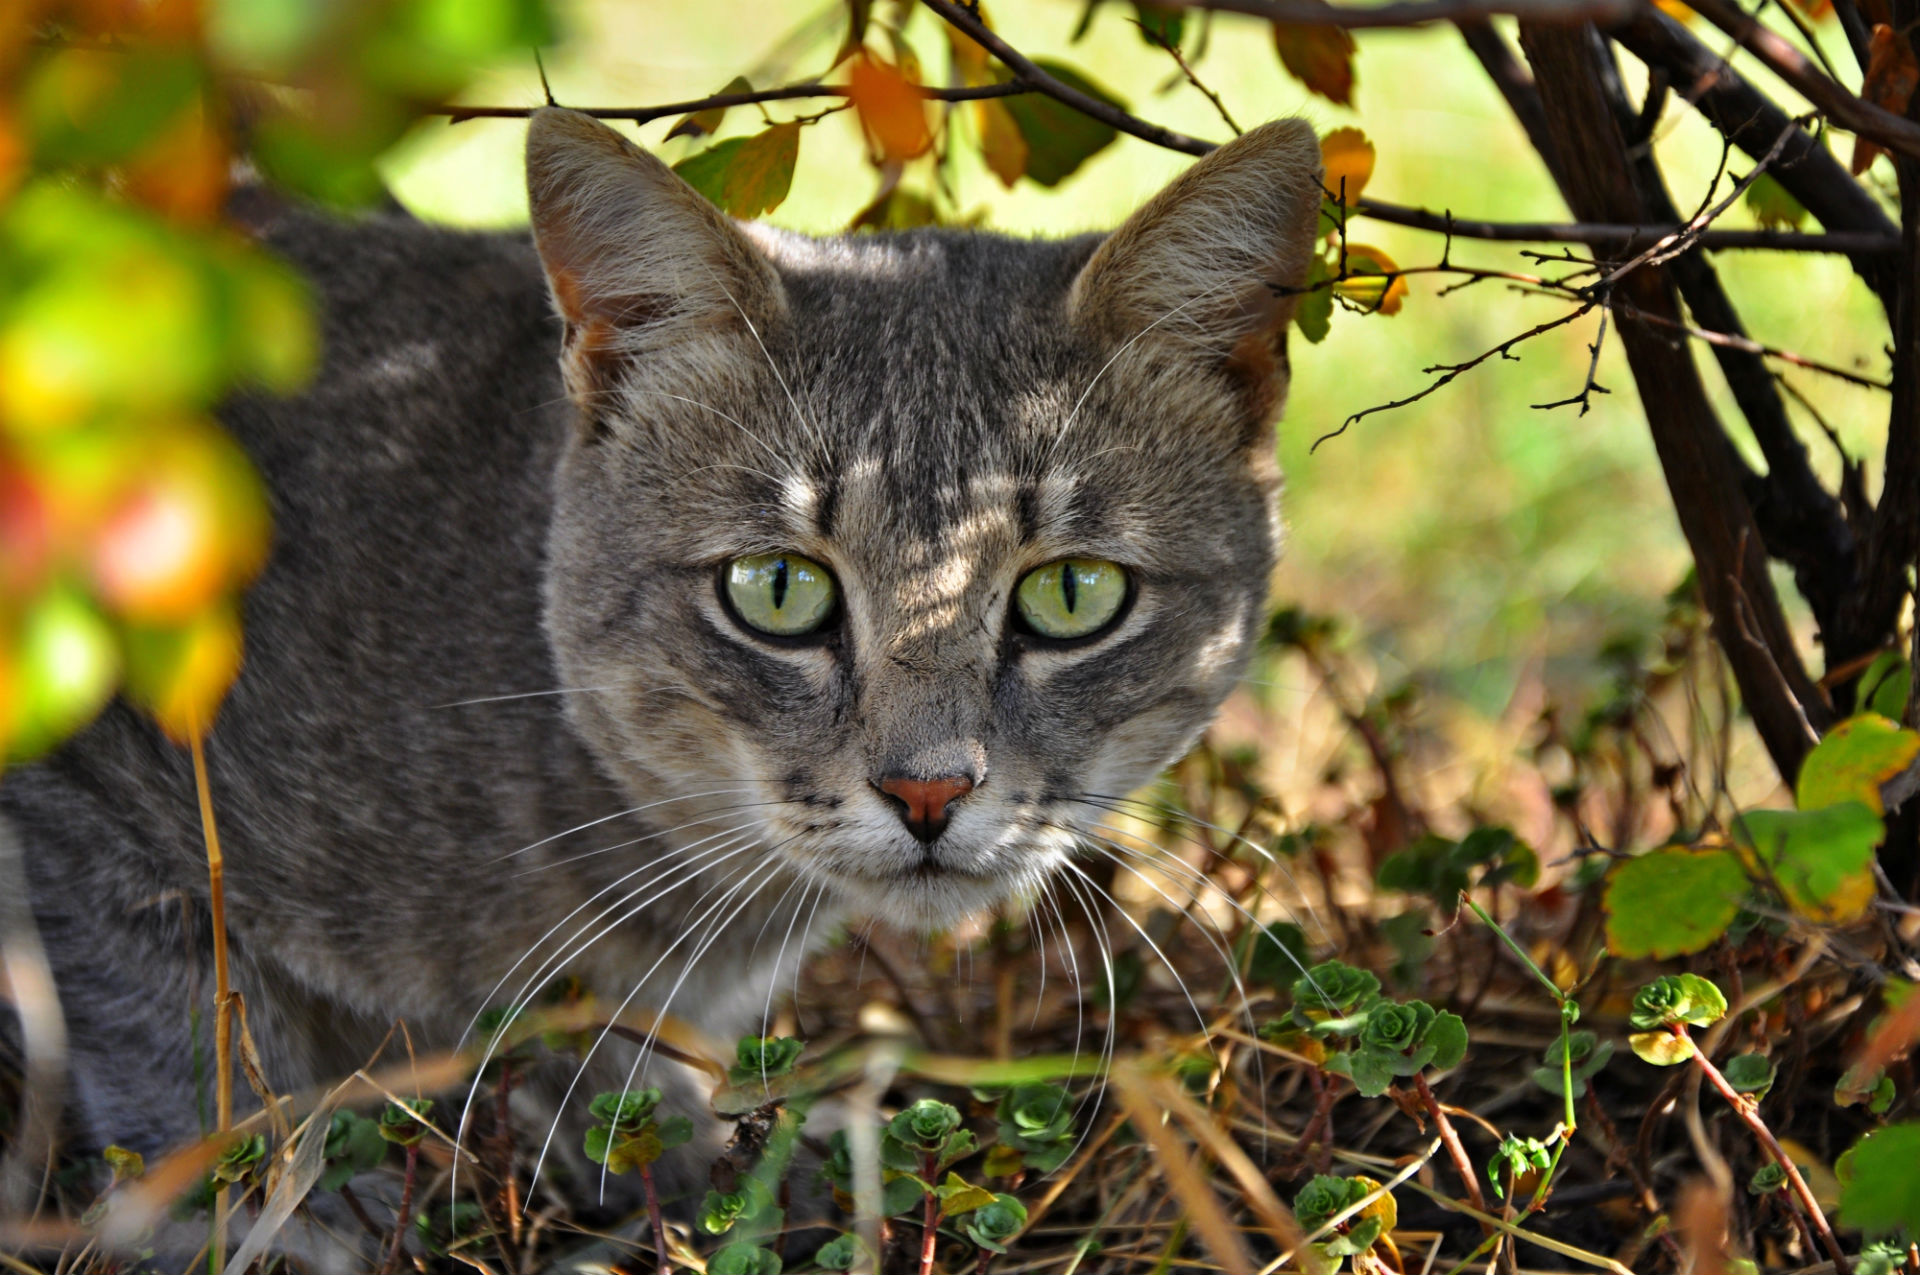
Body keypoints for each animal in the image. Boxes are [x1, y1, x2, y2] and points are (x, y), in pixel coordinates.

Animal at [0, 99, 1320, 1205]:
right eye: (778, 589)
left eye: (1072, 592)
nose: (929, 790)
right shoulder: (90, 790)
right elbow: (196, 1075)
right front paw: (281, 1213)